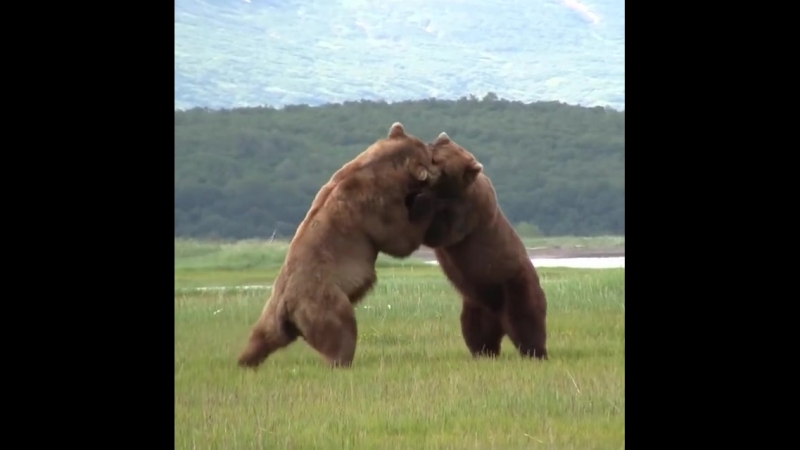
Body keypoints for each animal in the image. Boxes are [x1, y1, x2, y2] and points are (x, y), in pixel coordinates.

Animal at [234, 123, 484, 370]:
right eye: (431, 157)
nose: (435, 148)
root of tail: (288, 305)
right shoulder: (377, 204)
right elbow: (399, 240)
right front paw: (424, 202)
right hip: (325, 303)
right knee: (341, 332)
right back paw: (342, 362)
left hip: (272, 312)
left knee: (262, 336)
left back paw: (245, 360)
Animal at [416, 132, 548, 360]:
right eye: (433, 154)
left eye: (443, 167)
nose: (427, 175)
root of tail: (500, 319)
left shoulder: (468, 211)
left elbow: (441, 232)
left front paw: (421, 201)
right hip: (476, 303)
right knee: (475, 330)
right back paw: (484, 353)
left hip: (515, 284)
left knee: (527, 321)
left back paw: (535, 353)